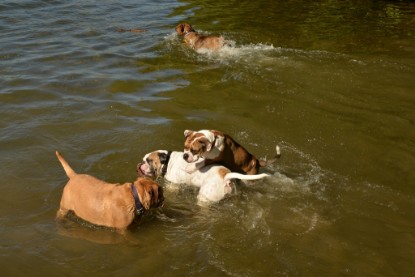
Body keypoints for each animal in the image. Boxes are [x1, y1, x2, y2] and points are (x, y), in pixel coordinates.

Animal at [138, 150, 272, 202]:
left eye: (149, 160)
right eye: (145, 159)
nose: (141, 163)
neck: (169, 162)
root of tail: (226, 176)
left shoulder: (173, 185)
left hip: (205, 197)